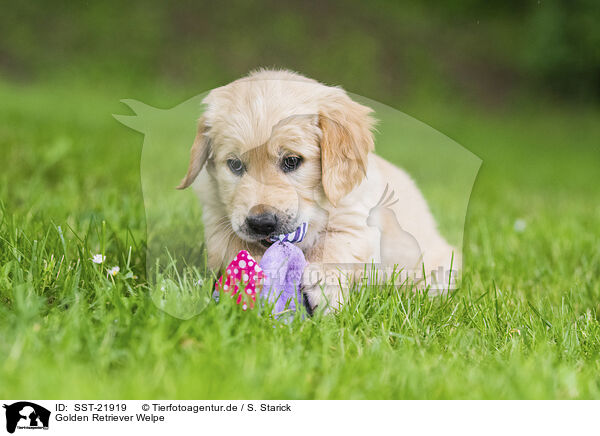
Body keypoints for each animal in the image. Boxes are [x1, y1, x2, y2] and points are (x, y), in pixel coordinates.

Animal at [177, 69, 454, 310]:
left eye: (291, 161)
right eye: (234, 164)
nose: (261, 223)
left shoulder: (356, 221)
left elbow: (335, 244)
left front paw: (323, 283)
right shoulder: (217, 220)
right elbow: (234, 245)